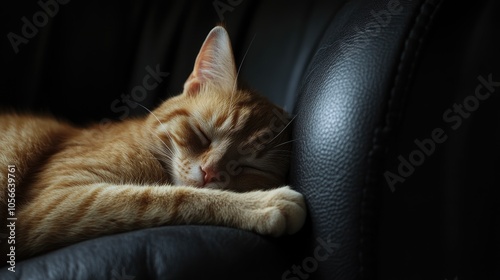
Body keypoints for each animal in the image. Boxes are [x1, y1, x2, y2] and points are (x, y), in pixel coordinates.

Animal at [0, 25, 306, 262]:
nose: (209, 173)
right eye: (202, 134)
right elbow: (171, 197)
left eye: (249, 166)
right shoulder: (54, 201)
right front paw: (259, 203)